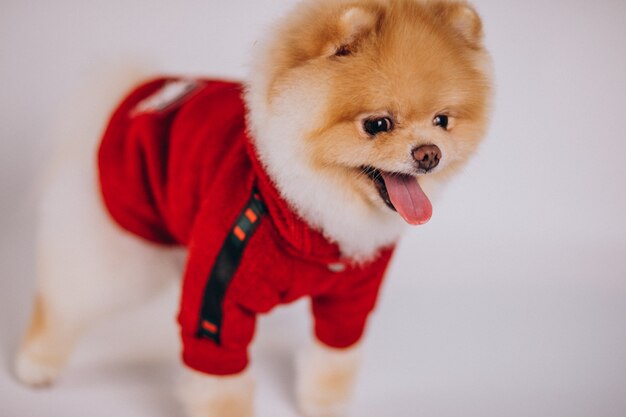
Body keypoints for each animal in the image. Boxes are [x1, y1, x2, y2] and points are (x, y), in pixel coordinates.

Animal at [17, 0, 490, 416]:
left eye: (443, 121)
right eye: (377, 124)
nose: (429, 154)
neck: (305, 210)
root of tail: (126, 96)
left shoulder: (352, 294)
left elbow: (334, 355)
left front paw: (324, 404)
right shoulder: (220, 289)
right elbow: (220, 377)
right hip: (118, 246)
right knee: (64, 294)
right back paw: (34, 363)